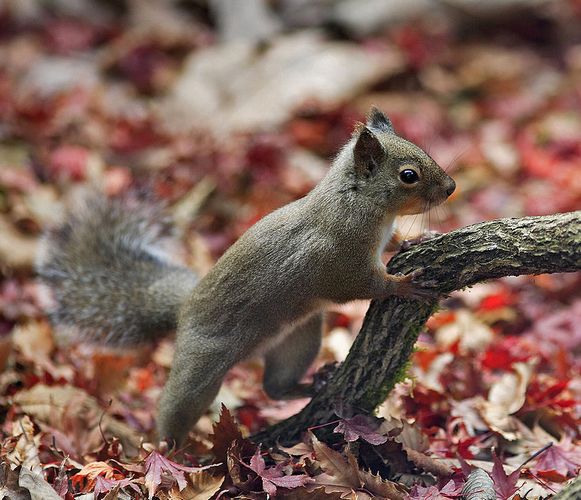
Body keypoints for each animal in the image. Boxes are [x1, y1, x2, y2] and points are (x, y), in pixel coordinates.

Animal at [36, 108, 456, 446]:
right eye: (408, 175)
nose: (451, 188)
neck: (357, 202)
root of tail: (184, 309)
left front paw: (419, 238)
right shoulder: (338, 260)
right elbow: (360, 285)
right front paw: (405, 285)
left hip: (298, 339)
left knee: (275, 387)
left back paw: (312, 382)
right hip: (201, 366)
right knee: (176, 404)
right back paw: (169, 452)